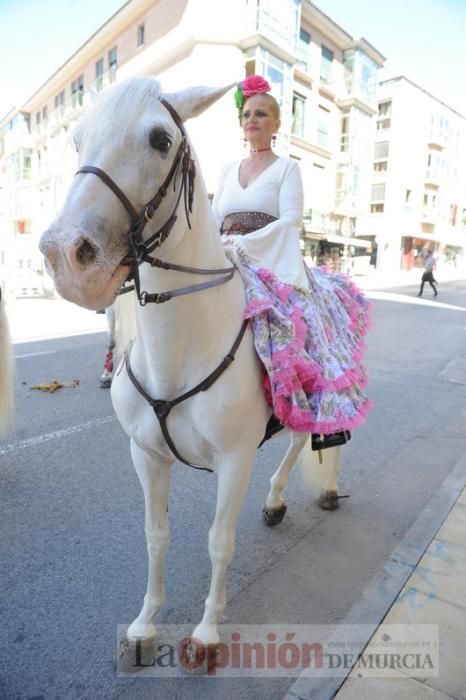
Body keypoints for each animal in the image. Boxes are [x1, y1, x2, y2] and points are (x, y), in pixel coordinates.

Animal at [40, 78, 344, 652]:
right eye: (76, 141)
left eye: (161, 140)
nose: (66, 255)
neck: (178, 353)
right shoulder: (146, 456)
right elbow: (156, 536)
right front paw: (144, 623)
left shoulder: (235, 460)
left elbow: (219, 541)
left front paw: (205, 634)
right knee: (299, 440)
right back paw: (277, 501)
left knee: (317, 438)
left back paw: (325, 489)